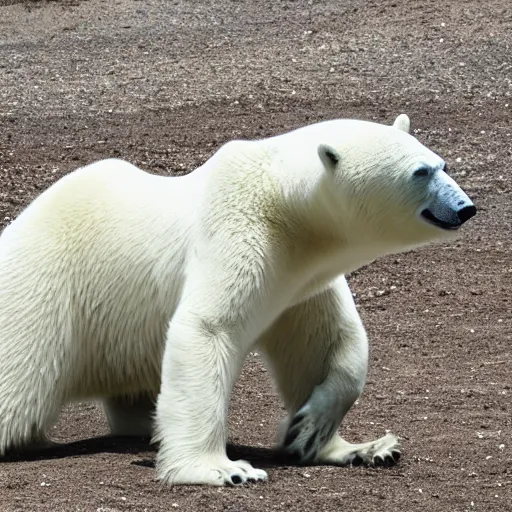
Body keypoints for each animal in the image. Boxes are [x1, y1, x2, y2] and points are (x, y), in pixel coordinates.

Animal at [0, 114, 476, 486]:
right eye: (420, 172)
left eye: (442, 163)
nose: (465, 207)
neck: (282, 202)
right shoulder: (237, 229)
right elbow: (208, 327)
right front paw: (223, 469)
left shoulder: (301, 274)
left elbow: (329, 340)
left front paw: (340, 441)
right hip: (45, 284)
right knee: (21, 383)